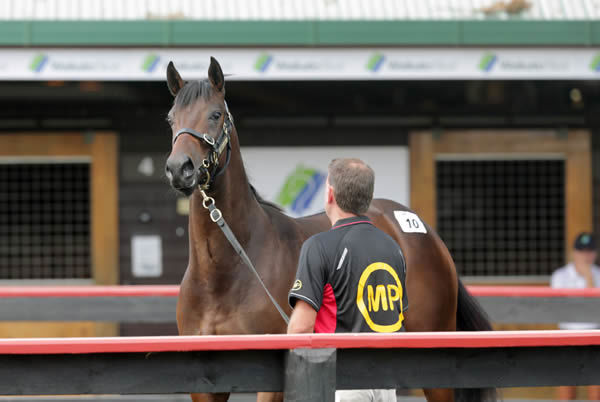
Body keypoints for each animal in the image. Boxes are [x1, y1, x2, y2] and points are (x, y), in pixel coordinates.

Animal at [163, 58, 492, 402]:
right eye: (171, 118)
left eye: (215, 114)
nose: (179, 168)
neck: (226, 271)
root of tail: (425, 231)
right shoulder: (206, 386)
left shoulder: (270, 381)